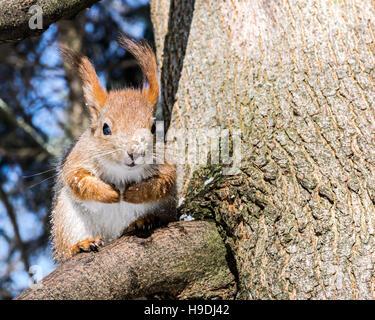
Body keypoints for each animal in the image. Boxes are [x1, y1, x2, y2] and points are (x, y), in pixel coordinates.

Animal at [50, 37, 178, 262]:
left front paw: (132, 194)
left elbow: (165, 180)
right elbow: (77, 179)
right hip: (67, 220)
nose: (134, 152)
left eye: (154, 127)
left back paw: (142, 221)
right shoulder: (77, 159)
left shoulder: (164, 162)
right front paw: (111, 194)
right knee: (67, 249)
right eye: (105, 128)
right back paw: (80, 245)